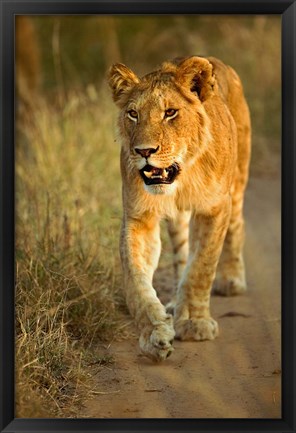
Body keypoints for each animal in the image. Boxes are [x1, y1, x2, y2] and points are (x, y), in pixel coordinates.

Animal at [107, 57, 251, 362]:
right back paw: (175, 302)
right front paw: (155, 334)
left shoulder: (214, 209)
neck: (182, 176)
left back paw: (231, 279)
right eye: (133, 114)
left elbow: (201, 267)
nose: (143, 151)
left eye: (170, 112)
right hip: (178, 220)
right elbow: (136, 281)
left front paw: (195, 323)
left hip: (238, 181)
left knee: (237, 225)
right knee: (182, 254)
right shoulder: (140, 217)